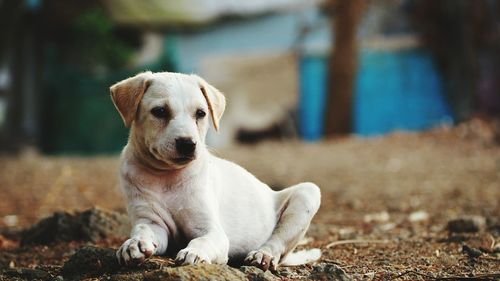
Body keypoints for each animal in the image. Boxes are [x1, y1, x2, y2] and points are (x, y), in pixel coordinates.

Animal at [110, 70, 320, 270]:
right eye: (160, 111)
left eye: (201, 113)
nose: (187, 144)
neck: (166, 175)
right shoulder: (151, 221)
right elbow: (144, 231)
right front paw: (135, 243)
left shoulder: (213, 231)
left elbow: (202, 240)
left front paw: (194, 253)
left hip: (307, 193)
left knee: (276, 243)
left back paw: (263, 255)